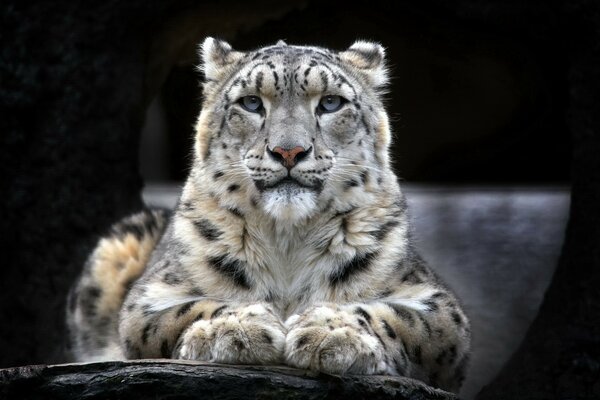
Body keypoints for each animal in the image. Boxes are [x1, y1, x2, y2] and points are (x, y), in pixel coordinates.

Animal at [64, 38, 468, 394]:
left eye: (331, 103)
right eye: (251, 103)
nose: (289, 151)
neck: (288, 240)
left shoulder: (438, 304)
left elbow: (394, 316)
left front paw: (331, 331)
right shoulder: (148, 298)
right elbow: (189, 309)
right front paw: (236, 328)